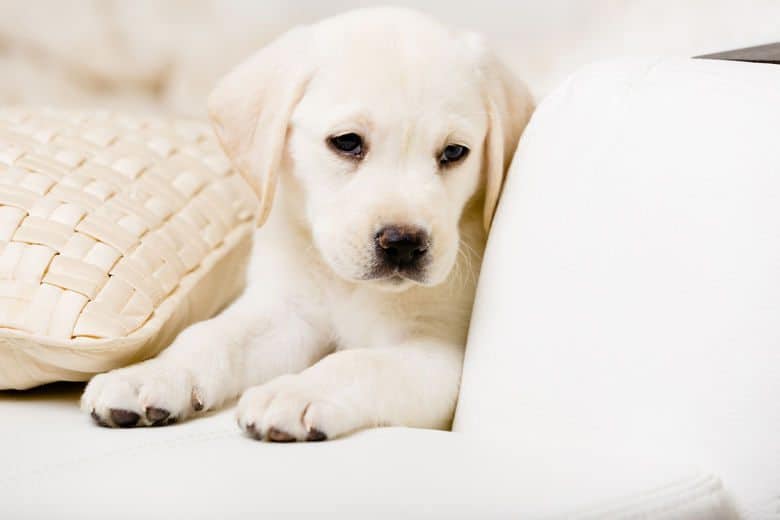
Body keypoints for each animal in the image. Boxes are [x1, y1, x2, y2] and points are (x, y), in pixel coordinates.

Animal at [82, 6, 532, 440]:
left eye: (455, 152)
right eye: (347, 142)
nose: (404, 243)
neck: (348, 287)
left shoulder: (439, 354)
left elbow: (358, 363)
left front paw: (295, 393)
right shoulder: (286, 311)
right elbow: (213, 335)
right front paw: (151, 374)